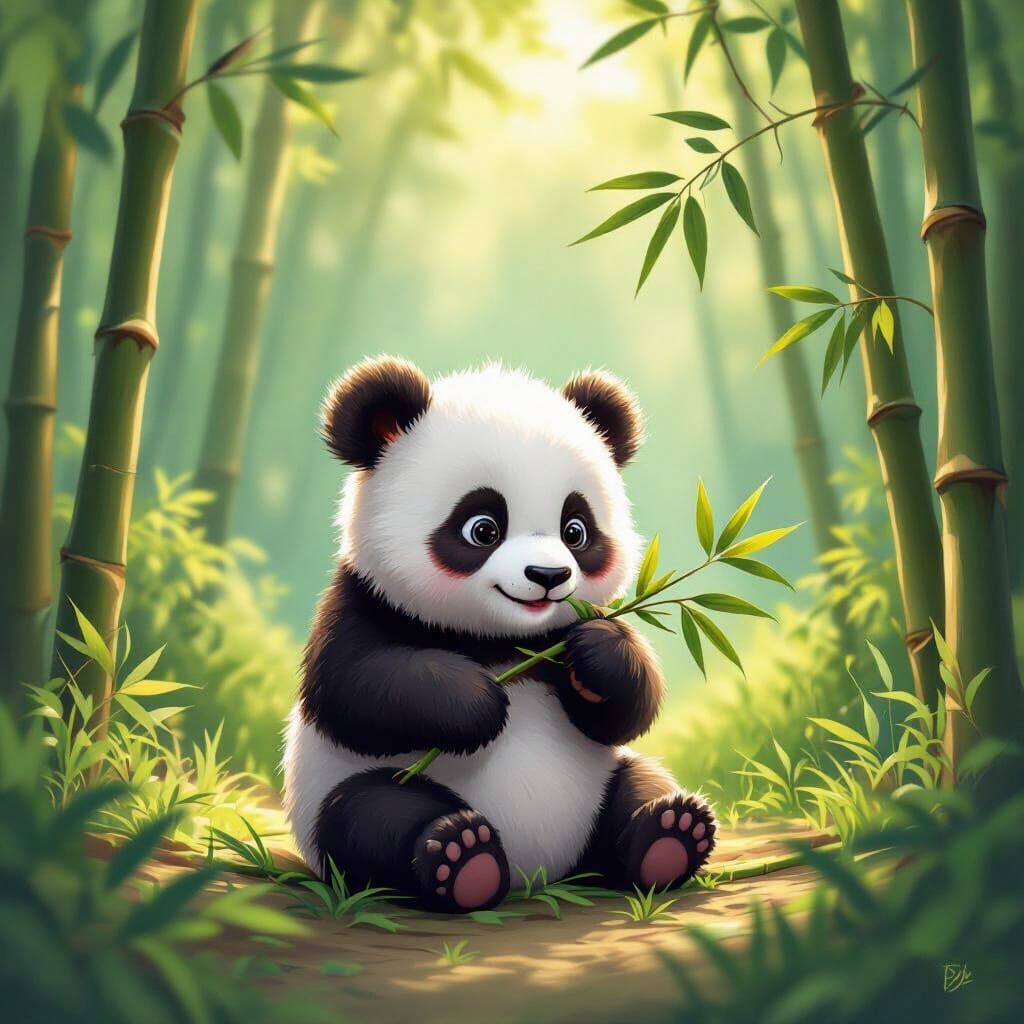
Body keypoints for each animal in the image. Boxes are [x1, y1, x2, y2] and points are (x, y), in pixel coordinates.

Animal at [283, 356, 716, 914]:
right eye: (483, 528)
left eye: (575, 530)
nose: (549, 576)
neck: (502, 641)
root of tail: (540, 873)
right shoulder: (362, 601)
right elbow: (351, 689)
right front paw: (479, 701)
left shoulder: (570, 628)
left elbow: (626, 711)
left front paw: (598, 655)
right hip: (344, 794)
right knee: (369, 815)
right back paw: (463, 857)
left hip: (602, 785)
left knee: (638, 782)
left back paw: (670, 835)